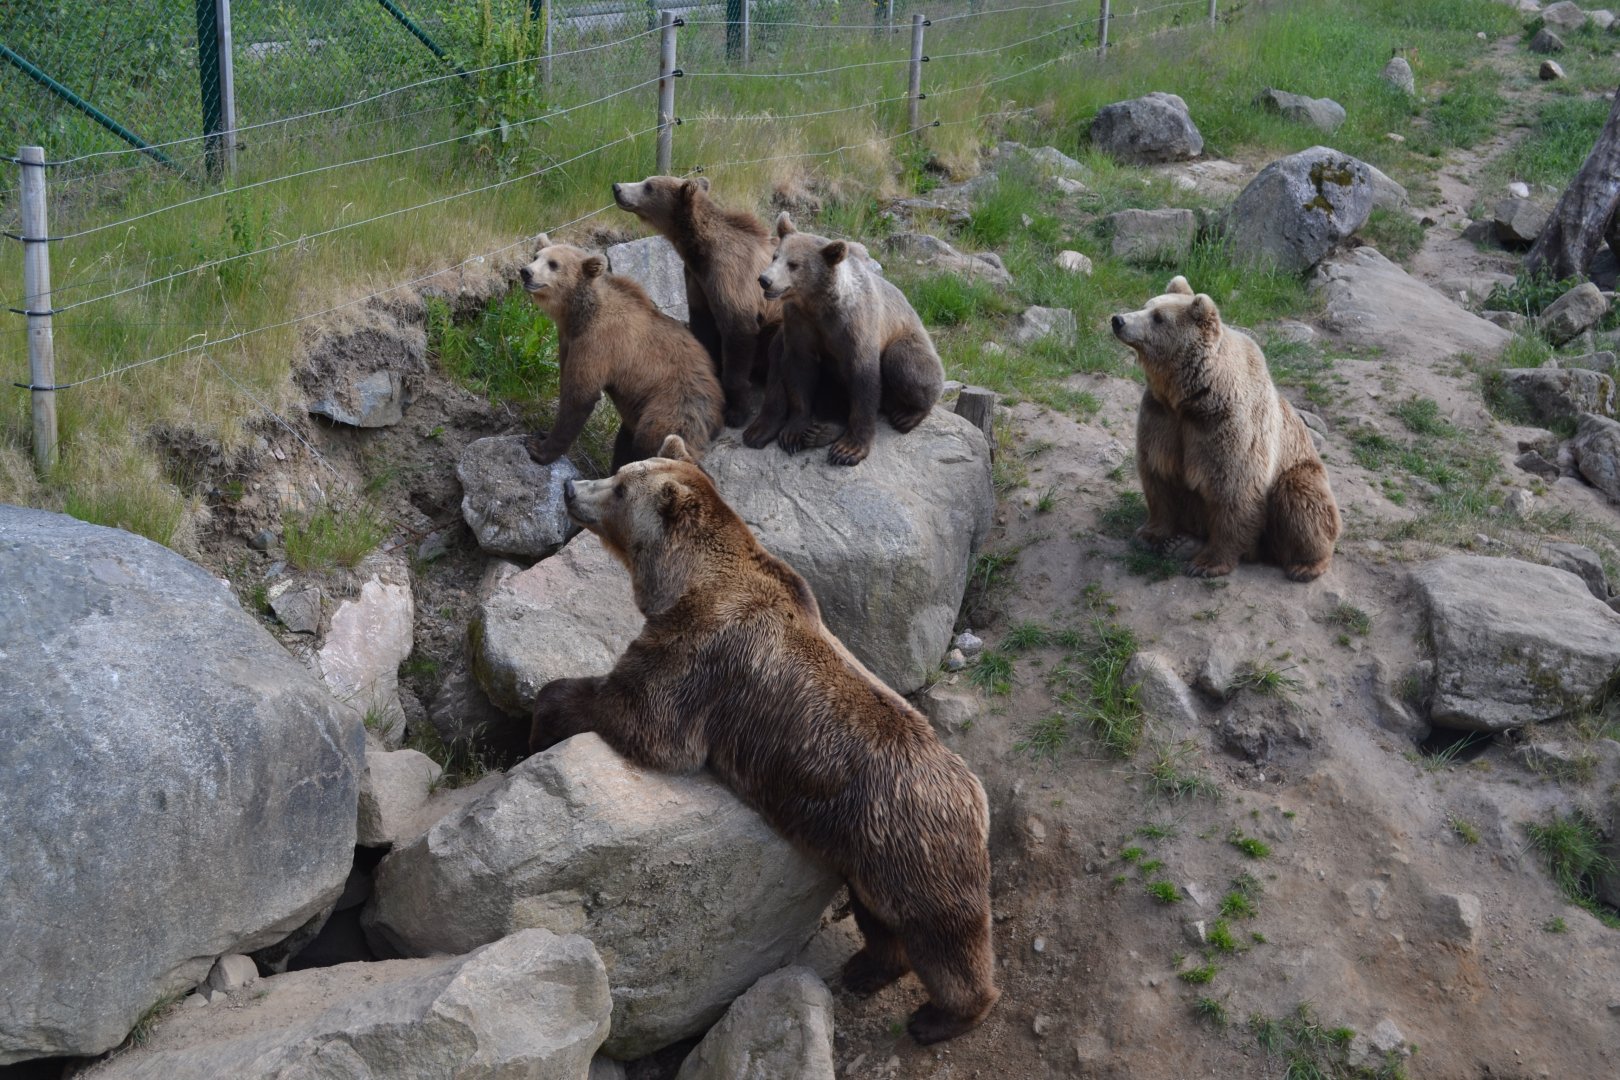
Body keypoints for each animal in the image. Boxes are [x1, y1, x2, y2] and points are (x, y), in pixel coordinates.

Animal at [518, 236, 724, 471]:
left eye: (553, 264)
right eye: (536, 256)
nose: (526, 271)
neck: (579, 314)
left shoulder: (600, 343)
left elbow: (580, 396)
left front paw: (539, 448)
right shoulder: (568, 340)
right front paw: (542, 434)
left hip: (673, 407)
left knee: (653, 441)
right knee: (625, 439)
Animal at [529, 434, 999, 1045]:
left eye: (620, 487)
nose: (570, 487)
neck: (685, 584)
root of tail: (977, 798)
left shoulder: (703, 655)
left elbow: (643, 716)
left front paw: (546, 709)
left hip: (912, 841)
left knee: (940, 932)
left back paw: (943, 1016)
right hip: (866, 851)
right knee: (880, 916)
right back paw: (867, 969)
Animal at [612, 175, 781, 428]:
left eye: (649, 186)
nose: (617, 188)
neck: (698, 250)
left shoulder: (730, 276)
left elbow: (737, 328)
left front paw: (736, 412)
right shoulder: (696, 281)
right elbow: (703, 325)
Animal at [744, 212, 944, 467]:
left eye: (794, 264)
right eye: (775, 256)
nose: (765, 279)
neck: (817, 305)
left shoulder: (855, 328)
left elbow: (864, 380)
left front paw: (848, 449)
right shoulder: (800, 325)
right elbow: (798, 372)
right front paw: (793, 433)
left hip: (911, 340)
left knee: (905, 363)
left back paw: (907, 415)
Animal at [1111, 276, 1341, 581]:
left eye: (1158, 317)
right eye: (1146, 305)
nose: (1118, 319)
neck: (1188, 396)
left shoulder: (1226, 424)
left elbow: (1234, 490)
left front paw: (1207, 563)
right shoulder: (1161, 418)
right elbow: (1158, 473)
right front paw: (1149, 534)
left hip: (1301, 471)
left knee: (1301, 497)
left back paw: (1307, 564)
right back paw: (1181, 542)